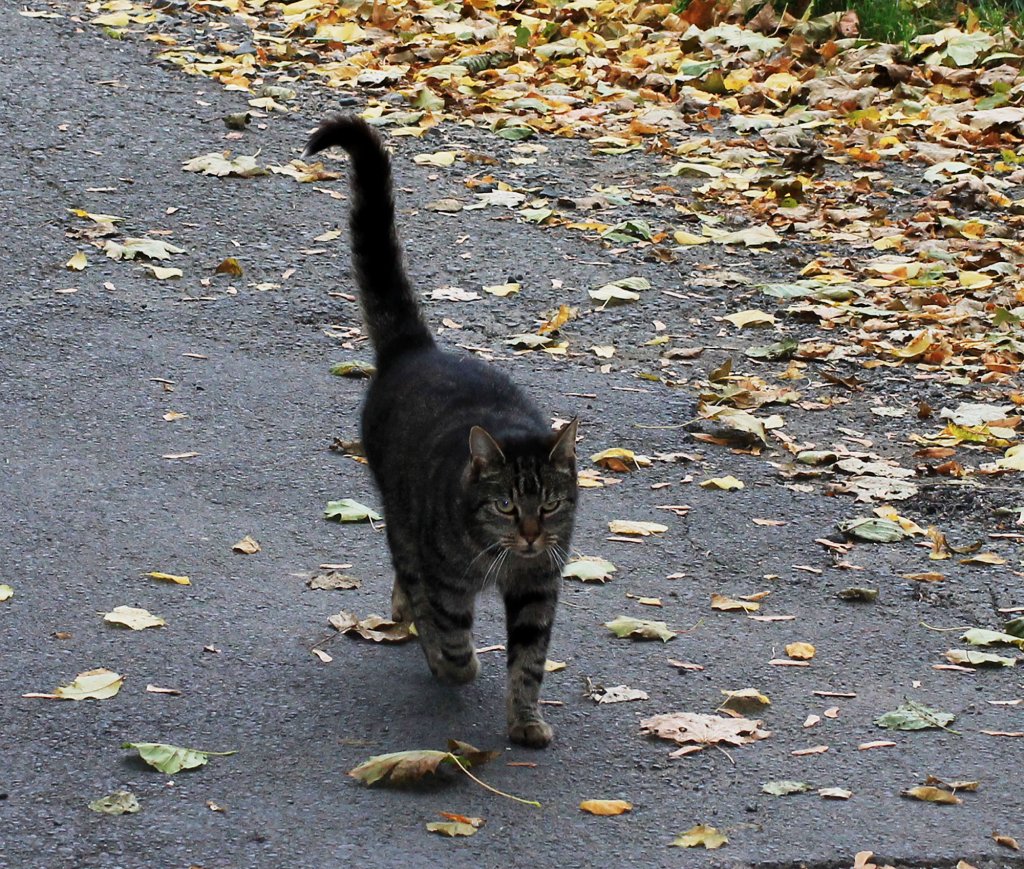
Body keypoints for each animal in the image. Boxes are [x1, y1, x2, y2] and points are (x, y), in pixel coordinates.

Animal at [301, 118, 577, 749]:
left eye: (550, 505)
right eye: (505, 505)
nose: (530, 536)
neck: (502, 556)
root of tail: (416, 348)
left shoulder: (539, 587)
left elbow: (530, 661)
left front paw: (525, 720)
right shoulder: (445, 575)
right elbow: (447, 630)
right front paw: (456, 664)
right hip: (400, 514)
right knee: (408, 575)